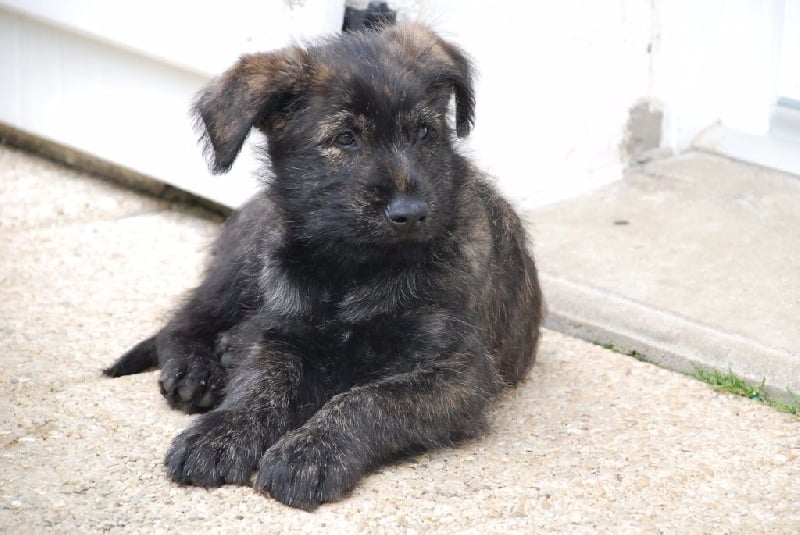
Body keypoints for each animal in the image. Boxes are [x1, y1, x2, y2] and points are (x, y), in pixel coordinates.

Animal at [104, 22, 542, 511]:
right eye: (345, 138)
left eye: (425, 133)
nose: (411, 213)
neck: (353, 271)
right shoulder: (281, 334)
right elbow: (262, 385)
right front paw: (221, 433)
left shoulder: (456, 373)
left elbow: (370, 399)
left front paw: (311, 452)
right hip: (245, 266)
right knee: (184, 319)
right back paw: (195, 369)